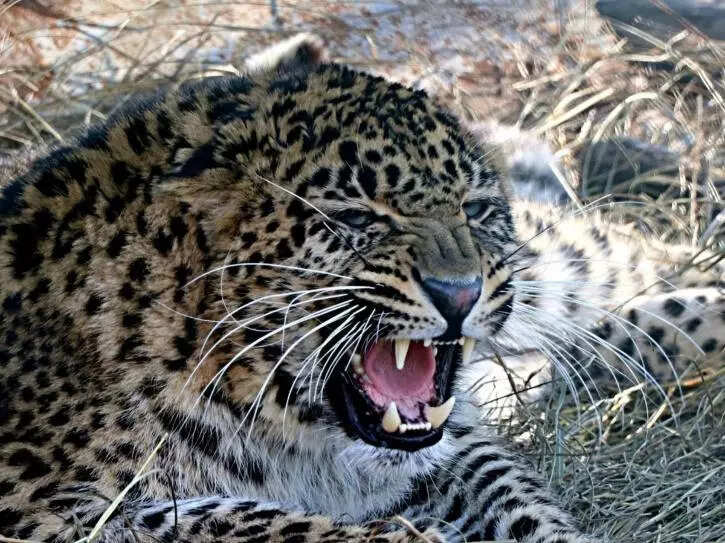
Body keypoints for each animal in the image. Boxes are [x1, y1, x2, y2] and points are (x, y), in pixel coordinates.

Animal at [0, 33, 723, 543]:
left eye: (475, 211)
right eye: (357, 220)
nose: (459, 294)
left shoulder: (450, 441)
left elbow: (516, 496)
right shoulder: (38, 507)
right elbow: (236, 522)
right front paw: (413, 536)